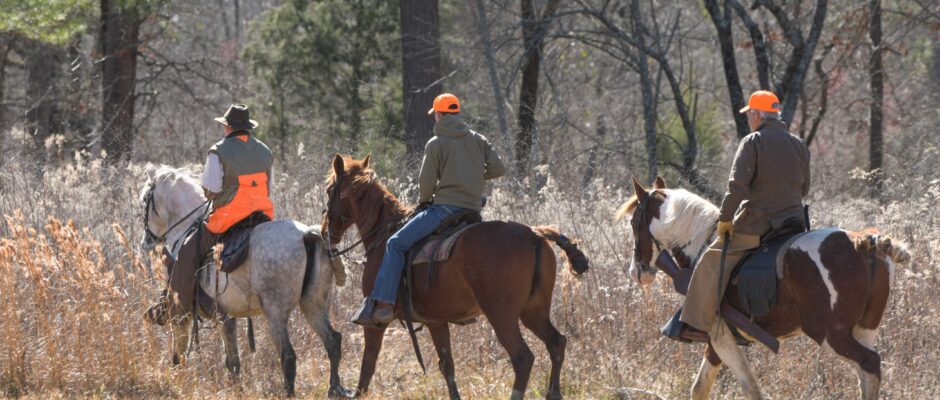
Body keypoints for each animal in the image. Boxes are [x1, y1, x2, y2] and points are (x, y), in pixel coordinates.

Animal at [138, 164, 350, 398]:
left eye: (145, 199)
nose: (145, 242)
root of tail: (306, 235)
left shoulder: (182, 315)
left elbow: (182, 357)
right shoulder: (227, 318)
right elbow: (232, 362)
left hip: (275, 313)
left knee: (288, 356)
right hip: (313, 305)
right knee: (332, 341)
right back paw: (335, 389)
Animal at [322, 154, 590, 400]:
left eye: (330, 190)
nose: (326, 233)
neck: (384, 233)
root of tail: (534, 234)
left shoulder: (374, 322)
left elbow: (368, 364)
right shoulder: (435, 321)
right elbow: (447, 366)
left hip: (502, 315)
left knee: (522, 358)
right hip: (533, 311)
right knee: (556, 343)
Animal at [616, 176, 910, 400]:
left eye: (634, 223)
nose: (636, 272)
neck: (701, 244)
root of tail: (865, 243)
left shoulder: (721, 337)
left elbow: (750, 388)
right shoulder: (717, 341)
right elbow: (700, 388)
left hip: (831, 335)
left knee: (869, 363)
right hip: (864, 331)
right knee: (867, 372)